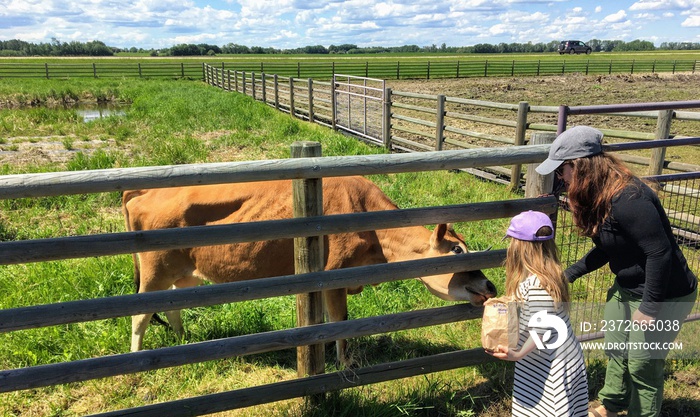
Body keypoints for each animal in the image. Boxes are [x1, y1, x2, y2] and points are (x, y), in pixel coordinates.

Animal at [124, 174, 498, 362]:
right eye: (458, 249)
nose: (490, 287)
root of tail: (141, 192)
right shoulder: (335, 275)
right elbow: (341, 322)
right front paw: (345, 364)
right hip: (155, 270)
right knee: (140, 315)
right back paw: (136, 364)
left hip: (183, 272)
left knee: (172, 306)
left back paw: (182, 342)